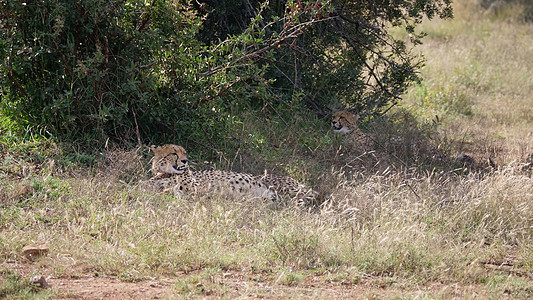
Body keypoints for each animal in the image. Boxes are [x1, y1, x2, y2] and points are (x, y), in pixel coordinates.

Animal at [148, 144, 316, 204]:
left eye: (184, 153)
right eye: (174, 153)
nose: (185, 161)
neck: (165, 173)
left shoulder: (198, 187)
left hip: (284, 188)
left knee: (309, 196)